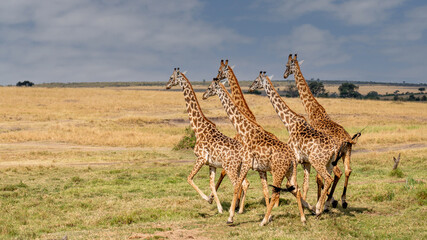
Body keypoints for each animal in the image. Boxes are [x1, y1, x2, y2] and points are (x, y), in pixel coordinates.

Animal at [166, 67, 251, 214]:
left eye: (171, 78)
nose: (167, 86)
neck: (198, 128)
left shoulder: (201, 158)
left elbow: (189, 178)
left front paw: (207, 199)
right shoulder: (211, 164)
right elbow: (211, 184)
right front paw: (218, 207)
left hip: (231, 167)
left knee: (237, 184)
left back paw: (234, 210)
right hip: (240, 167)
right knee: (245, 183)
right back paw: (240, 209)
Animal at [204, 78, 310, 225]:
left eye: (209, 88)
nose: (203, 96)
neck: (245, 132)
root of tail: (292, 157)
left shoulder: (246, 162)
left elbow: (237, 185)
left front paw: (230, 217)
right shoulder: (260, 168)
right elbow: (263, 190)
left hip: (278, 171)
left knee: (277, 191)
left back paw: (263, 221)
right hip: (290, 171)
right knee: (296, 189)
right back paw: (303, 218)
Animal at [251, 71, 348, 216]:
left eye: (256, 80)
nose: (251, 87)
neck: (289, 123)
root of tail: (334, 149)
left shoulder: (295, 158)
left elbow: (291, 185)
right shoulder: (304, 161)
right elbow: (303, 184)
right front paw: (306, 206)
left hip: (317, 162)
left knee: (328, 178)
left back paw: (319, 208)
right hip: (329, 163)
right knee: (332, 177)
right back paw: (325, 205)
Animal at [284, 54, 362, 208]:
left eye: (287, 65)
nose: (284, 75)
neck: (313, 110)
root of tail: (347, 139)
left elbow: (318, 178)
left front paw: (320, 201)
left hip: (335, 157)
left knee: (337, 173)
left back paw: (328, 202)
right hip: (347, 153)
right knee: (347, 170)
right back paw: (342, 200)